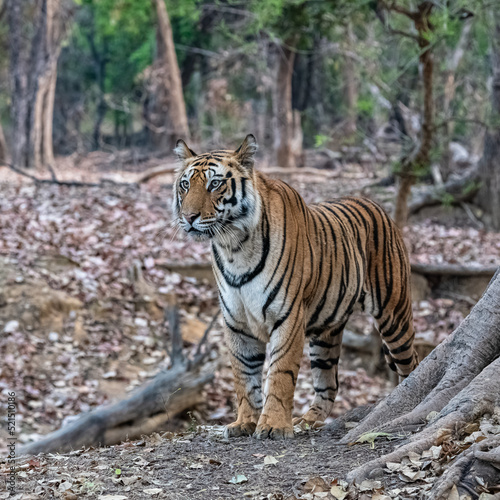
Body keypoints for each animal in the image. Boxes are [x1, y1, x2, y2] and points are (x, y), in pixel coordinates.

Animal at [172, 135, 418, 440]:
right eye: (185, 185)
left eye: (215, 184)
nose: (189, 217)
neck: (233, 247)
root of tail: (376, 205)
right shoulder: (236, 322)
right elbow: (243, 376)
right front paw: (245, 422)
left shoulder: (287, 316)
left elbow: (280, 373)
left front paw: (273, 425)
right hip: (326, 333)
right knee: (329, 383)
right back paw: (307, 421)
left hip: (394, 315)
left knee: (411, 362)